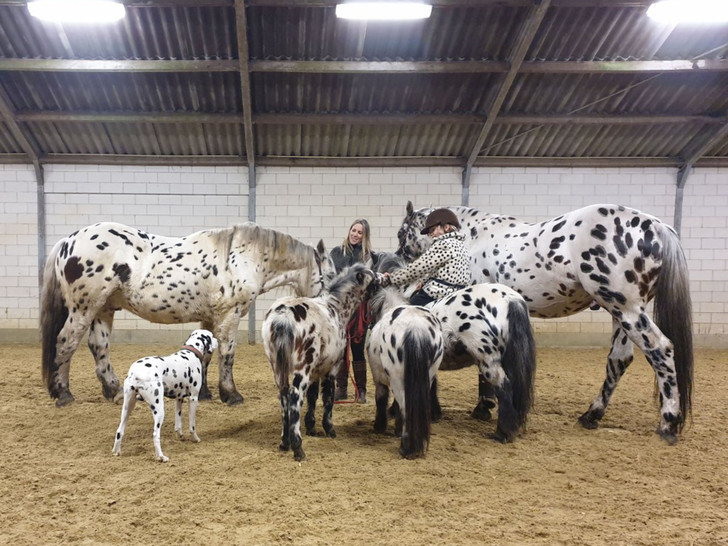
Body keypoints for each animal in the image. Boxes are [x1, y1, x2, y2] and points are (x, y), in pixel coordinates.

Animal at [40, 220, 336, 404]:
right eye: (330, 275)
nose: (329, 310)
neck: (244, 256)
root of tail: (67, 241)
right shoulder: (229, 315)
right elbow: (227, 354)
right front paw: (231, 394)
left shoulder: (209, 317)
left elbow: (205, 355)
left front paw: (203, 392)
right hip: (84, 308)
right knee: (66, 342)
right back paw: (62, 393)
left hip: (103, 309)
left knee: (98, 346)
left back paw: (111, 389)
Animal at [262, 262, 376, 456]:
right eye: (373, 277)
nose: (384, 279)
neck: (336, 308)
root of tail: (284, 316)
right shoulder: (331, 370)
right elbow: (328, 398)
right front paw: (329, 429)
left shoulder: (315, 372)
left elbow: (313, 397)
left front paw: (311, 427)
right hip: (301, 370)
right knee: (295, 397)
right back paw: (298, 447)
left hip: (278, 368)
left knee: (284, 397)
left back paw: (285, 442)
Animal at [398, 200, 692, 442]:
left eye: (402, 233)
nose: (399, 258)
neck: (470, 238)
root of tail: (657, 226)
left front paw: (483, 406)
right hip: (620, 312)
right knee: (619, 360)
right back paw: (592, 415)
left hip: (626, 308)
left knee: (660, 350)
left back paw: (668, 423)